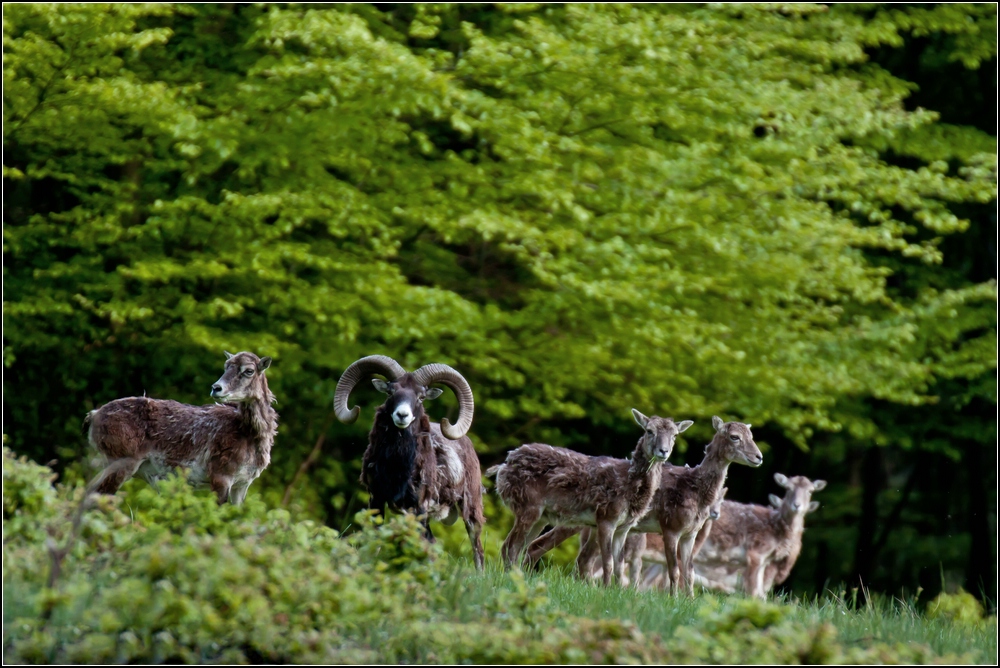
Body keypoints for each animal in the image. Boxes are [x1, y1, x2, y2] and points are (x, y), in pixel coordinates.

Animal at [85, 352, 278, 504]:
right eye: (226, 367)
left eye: (249, 370)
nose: (216, 388)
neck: (249, 437)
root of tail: (93, 416)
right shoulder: (220, 476)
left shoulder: (243, 484)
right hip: (119, 461)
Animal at [488, 410, 692, 588]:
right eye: (649, 431)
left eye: (675, 435)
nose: (663, 451)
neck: (629, 482)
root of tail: (504, 466)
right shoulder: (606, 517)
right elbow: (608, 562)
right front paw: (605, 589)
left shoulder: (624, 527)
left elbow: (619, 565)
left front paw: (617, 591)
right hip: (527, 505)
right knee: (509, 546)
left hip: (541, 516)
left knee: (521, 546)